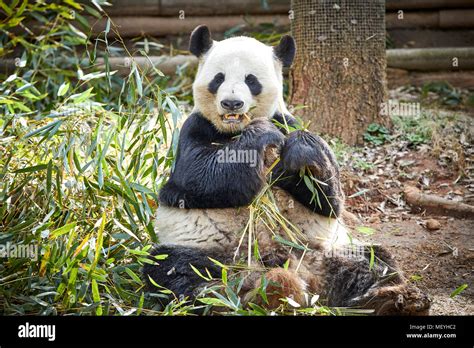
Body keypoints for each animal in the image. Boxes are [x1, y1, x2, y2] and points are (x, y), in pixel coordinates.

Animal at [143, 25, 432, 316]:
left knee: (373, 260)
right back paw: (221, 299)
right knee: (174, 269)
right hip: (213, 254)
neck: (234, 130)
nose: (232, 104)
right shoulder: (193, 129)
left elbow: (330, 200)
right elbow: (195, 179)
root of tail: (303, 279)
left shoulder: (287, 120)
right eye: (218, 78)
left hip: (324, 250)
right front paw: (260, 135)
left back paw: (391, 300)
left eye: (251, 80)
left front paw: (300, 150)